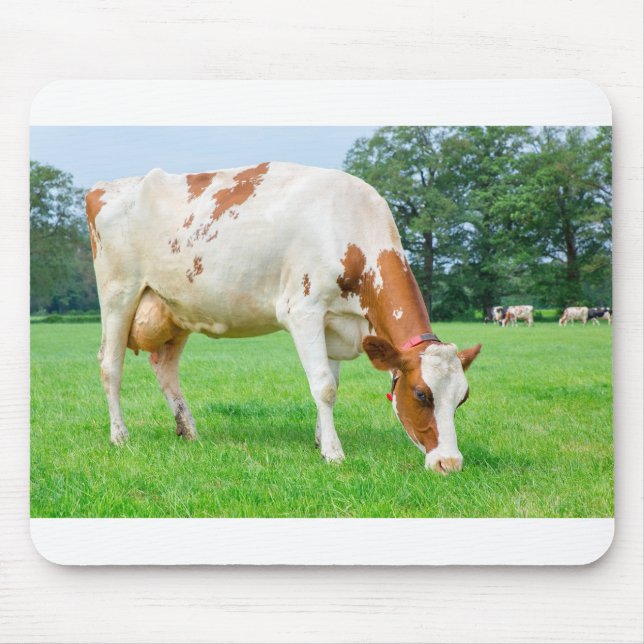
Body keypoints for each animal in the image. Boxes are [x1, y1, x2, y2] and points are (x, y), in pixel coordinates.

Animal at [86, 162, 481, 474]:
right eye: (420, 394)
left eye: (462, 397)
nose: (450, 463)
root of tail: (103, 187)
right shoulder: (304, 310)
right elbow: (324, 385)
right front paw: (333, 453)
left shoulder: (333, 323)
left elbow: (332, 383)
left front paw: (321, 440)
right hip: (119, 294)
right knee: (109, 365)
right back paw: (120, 436)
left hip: (174, 309)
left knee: (165, 368)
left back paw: (189, 431)